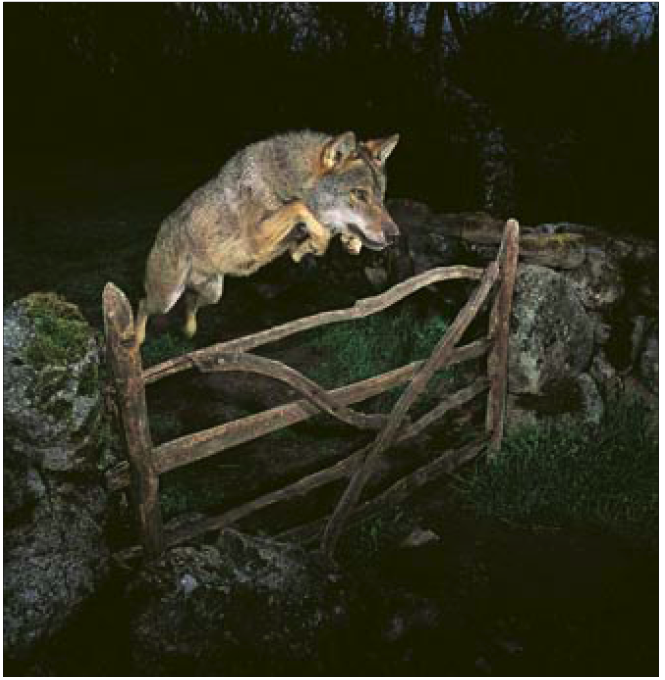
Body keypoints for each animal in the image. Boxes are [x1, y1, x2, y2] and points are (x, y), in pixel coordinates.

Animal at [135, 130, 400, 345]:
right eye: (360, 194)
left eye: (381, 197)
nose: (395, 236)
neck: (287, 181)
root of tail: (161, 230)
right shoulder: (257, 238)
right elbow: (299, 207)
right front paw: (321, 241)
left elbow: (313, 235)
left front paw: (345, 242)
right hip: (166, 299)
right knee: (143, 304)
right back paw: (135, 340)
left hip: (213, 294)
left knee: (190, 304)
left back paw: (189, 331)